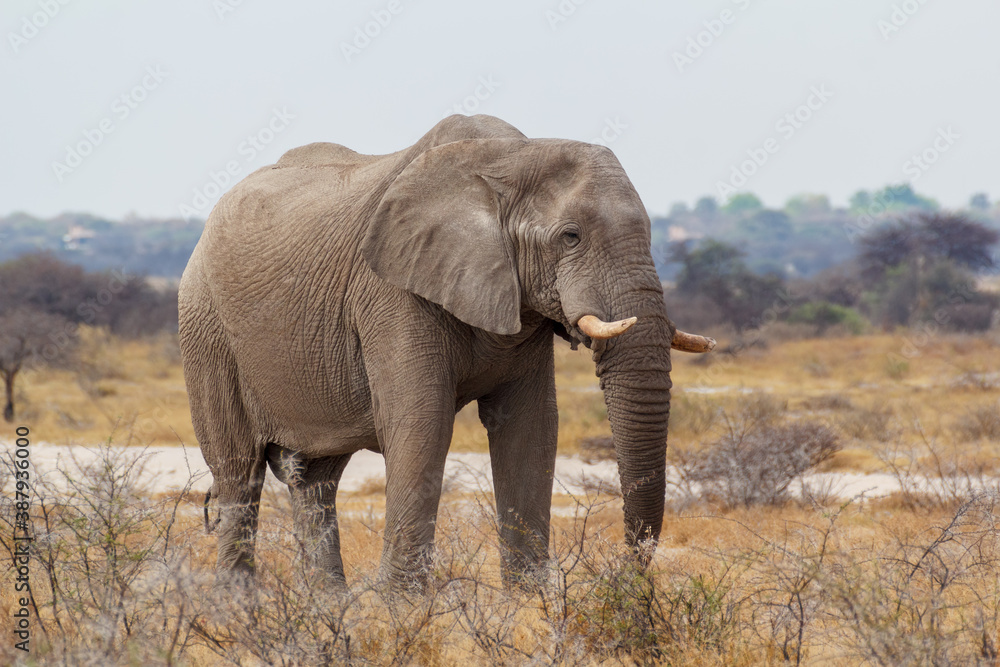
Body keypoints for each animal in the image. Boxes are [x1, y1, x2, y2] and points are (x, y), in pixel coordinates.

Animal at [178, 114, 715, 590]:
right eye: (571, 236)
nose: (630, 573)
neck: (511, 156)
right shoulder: (392, 291)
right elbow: (423, 422)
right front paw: (400, 607)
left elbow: (532, 426)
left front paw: (528, 602)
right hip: (205, 329)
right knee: (239, 474)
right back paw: (238, 607)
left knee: (314, 480)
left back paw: (329, 608)